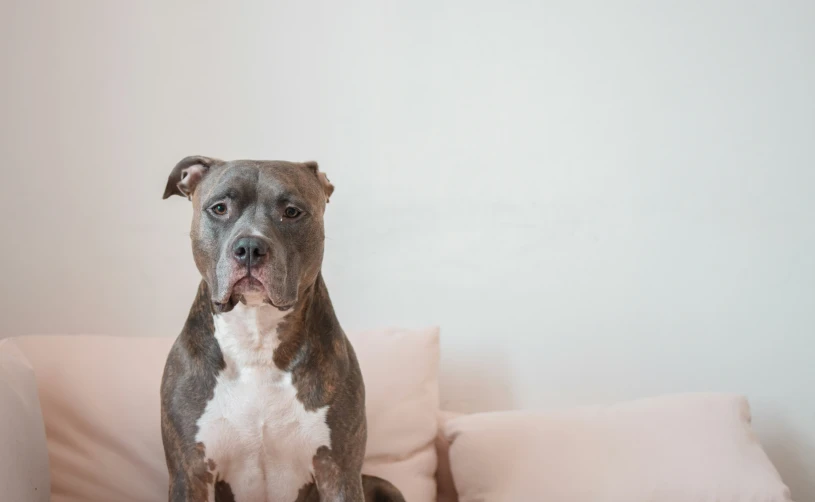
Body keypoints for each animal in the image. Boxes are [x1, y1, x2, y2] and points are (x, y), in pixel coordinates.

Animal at [159, 157, 404, 502]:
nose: (249, 246)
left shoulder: (339, 471)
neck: (256, 338)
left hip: (383, 485)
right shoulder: (190, 471)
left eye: (291, 212)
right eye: (219, 208)